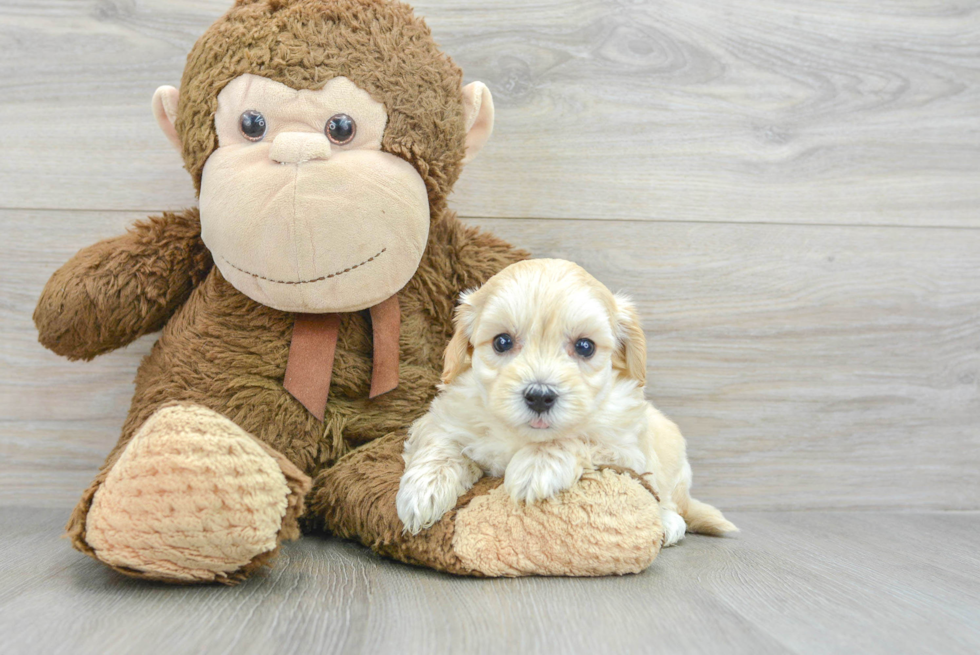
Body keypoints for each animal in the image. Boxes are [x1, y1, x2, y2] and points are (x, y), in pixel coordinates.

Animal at [392, 258, 736, 544]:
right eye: (502, 341)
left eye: (585, 346)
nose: (540, 396)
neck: (524, 436)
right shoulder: (443, 417)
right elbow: (441, 444)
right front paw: (423, 491)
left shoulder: (624, 446)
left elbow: (579, 438)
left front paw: (536, 466)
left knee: (668, 501)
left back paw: (668, 522)